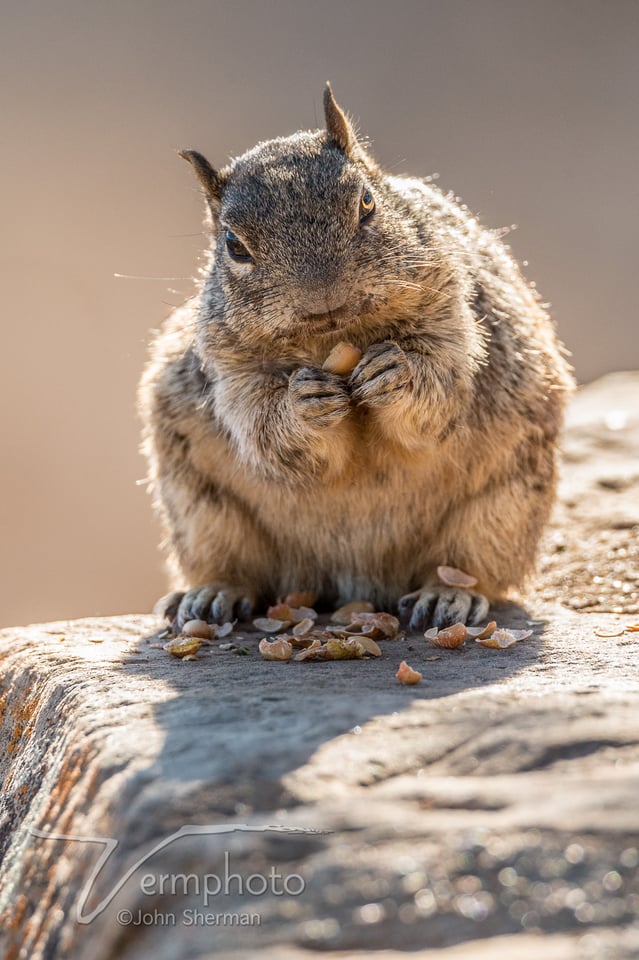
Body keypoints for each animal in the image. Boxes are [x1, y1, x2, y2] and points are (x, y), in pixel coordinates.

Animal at [139, 84, 576, 632]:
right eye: (234, 245)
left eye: (367, 202)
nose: (321, 295)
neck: (337, 337)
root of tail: (359, 583)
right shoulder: (229, 368)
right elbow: (263, 427)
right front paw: (302, 405)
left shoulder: (455, 317)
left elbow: (442, 390)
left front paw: (398, 374)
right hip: (203, 513)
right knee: (235, 567)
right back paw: (213, 592)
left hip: (501, 508)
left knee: (469, 566)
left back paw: (447, 597)